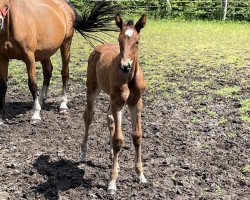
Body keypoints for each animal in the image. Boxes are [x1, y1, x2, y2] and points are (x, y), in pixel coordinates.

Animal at [80, 13, 146, 194]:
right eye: (119, 40)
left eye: (137, 41)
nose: (125, 66)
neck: (129, 78)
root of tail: (99, 47)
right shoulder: (118, 102)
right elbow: (118, 139)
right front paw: (112, 182)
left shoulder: (136, 103)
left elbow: (137, 136)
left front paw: (140, 175)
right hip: (92, 89)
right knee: (88, 116)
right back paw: (83, 154)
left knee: (109, 117)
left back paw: (111, 156)